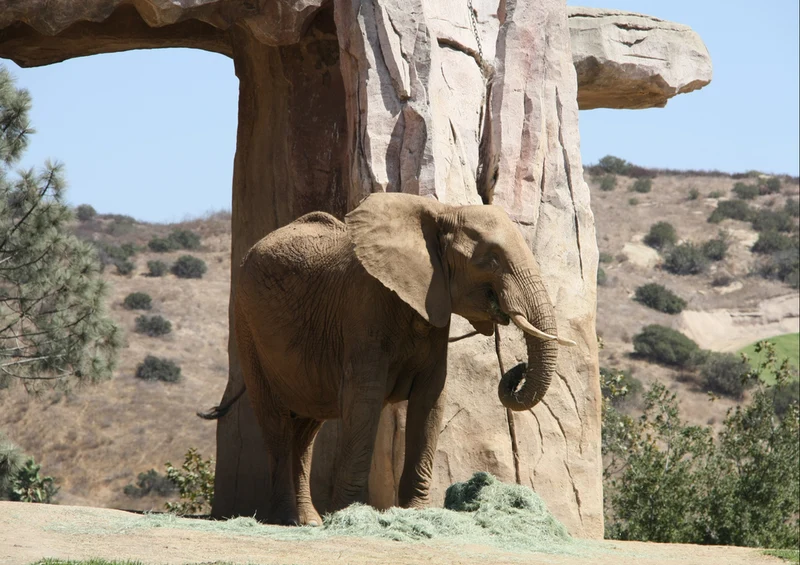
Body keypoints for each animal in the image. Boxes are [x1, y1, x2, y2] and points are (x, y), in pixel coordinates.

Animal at [230, 192, 573, 526]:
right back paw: (286, 519)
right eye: (491, 259)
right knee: (276, 424)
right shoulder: (364, 308)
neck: (443, 211)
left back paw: (308, 521)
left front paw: (417, 513)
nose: (519, 367)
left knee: (305, 430)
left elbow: (430, 401)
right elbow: (363, 402)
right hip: (247, 326)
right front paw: (349, 514)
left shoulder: (434, 309)